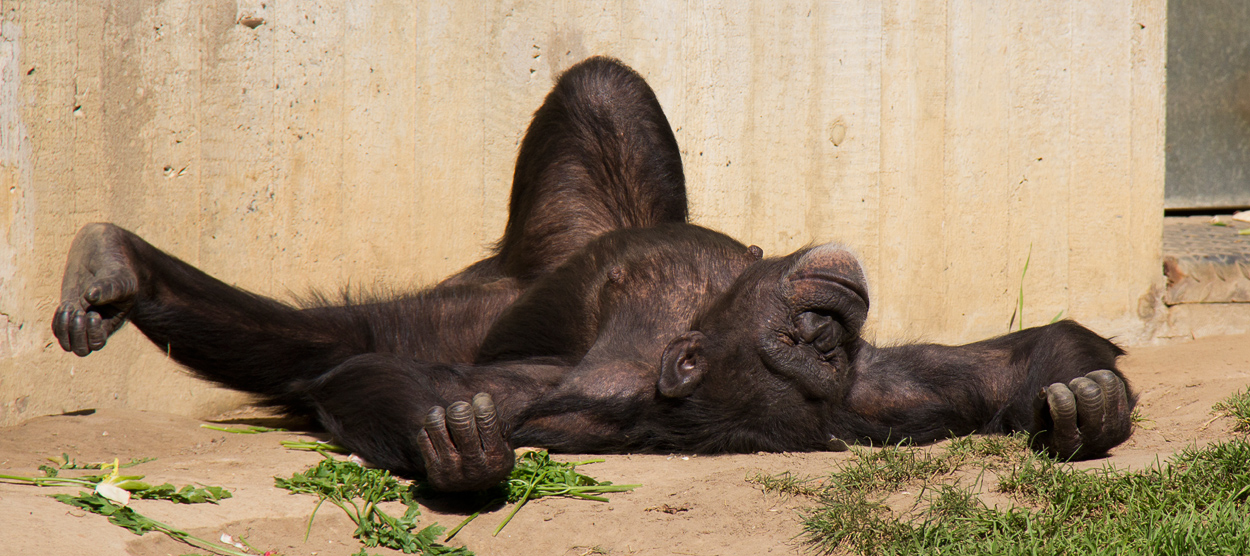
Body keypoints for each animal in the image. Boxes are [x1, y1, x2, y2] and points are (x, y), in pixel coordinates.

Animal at [56, 56, 1135, 489]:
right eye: (796, 339)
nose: (828, 321)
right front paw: (1090, 400)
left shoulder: (873, 399)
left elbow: (989, 373)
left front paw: (1083, 405)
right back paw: (109, 261)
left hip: (475, 292)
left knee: (316, 342)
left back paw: (120, 271)